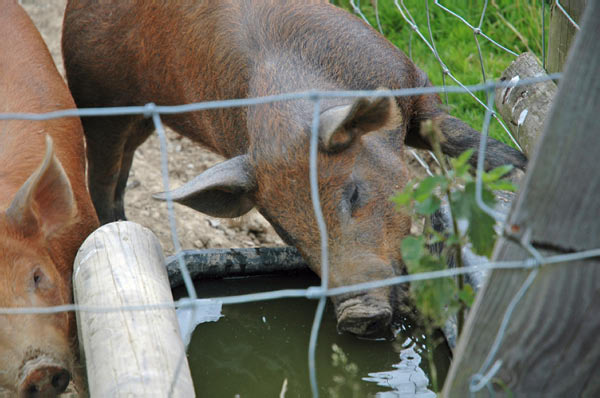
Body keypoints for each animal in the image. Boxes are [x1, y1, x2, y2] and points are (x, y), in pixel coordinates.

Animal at [63, 0, 528, 338]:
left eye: (353, 193)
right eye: (286, 228)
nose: (356, 314)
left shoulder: (413, 83)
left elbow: (456, 136)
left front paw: (518, 170)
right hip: (97, 102)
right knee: (102, 179)